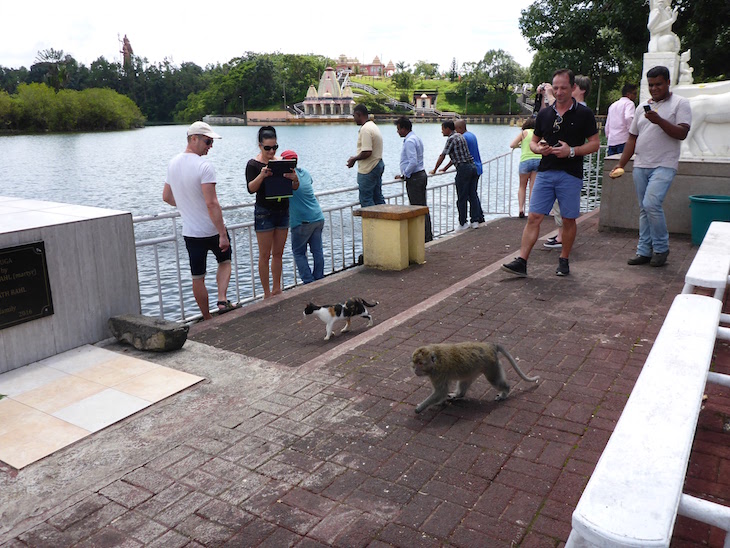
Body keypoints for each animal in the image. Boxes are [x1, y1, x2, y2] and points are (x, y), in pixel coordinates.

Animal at [410, 340, 540, 414]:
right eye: (415, 362)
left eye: (420, 363)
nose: (415, 369)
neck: (435, 361)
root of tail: (490, 346)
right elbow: (441, 392)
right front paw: (440, 402)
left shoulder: (438, 374)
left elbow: (440, 391)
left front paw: (420, 408)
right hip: (473, 369)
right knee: (465, 380)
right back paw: (459, 394)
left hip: (491, 366)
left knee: (495, 381)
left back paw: (505, 392)